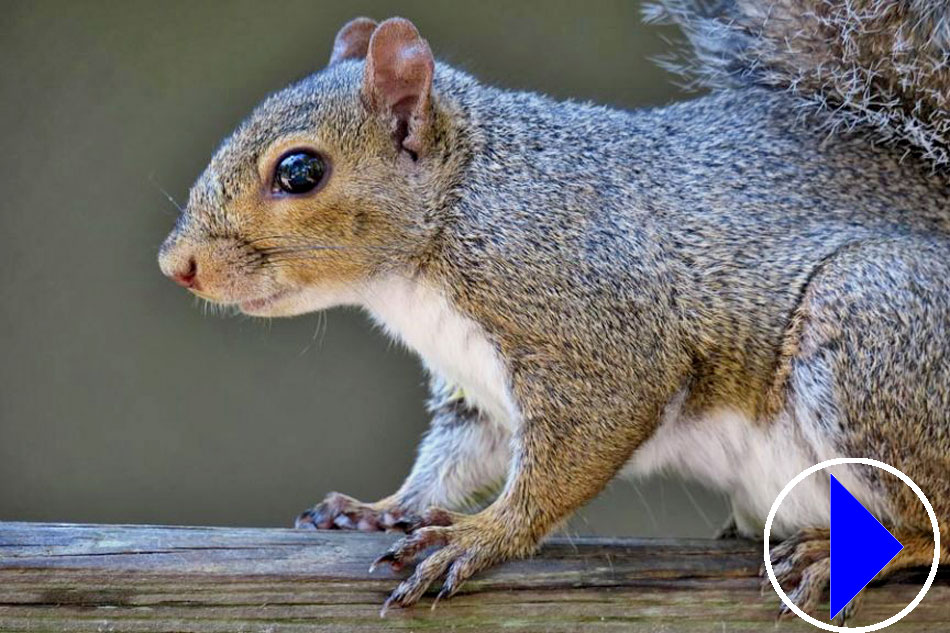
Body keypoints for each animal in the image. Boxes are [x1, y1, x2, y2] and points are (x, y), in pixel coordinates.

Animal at [158, 1, 950, 616]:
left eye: (301, 171)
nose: (177, 265)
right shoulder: (477, 391)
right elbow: (451, 460)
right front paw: (379, 508)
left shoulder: (596, 335)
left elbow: (568, 458)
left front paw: (478, 537)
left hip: (871, 320)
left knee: (935, 528)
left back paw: (849, 553)